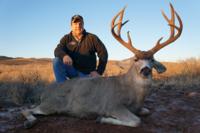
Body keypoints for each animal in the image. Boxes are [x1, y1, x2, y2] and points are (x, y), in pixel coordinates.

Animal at [21, 3, 183, 128]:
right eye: (136, 59)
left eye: (152, 59)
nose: (145, 70)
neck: (134, 94)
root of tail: (44, 92)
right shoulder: (113, 105)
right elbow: (136, 121)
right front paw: (102, 118)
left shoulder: (138, 108)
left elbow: (146, 111)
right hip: (52, 104)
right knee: (25, 109)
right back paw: (29, 123)